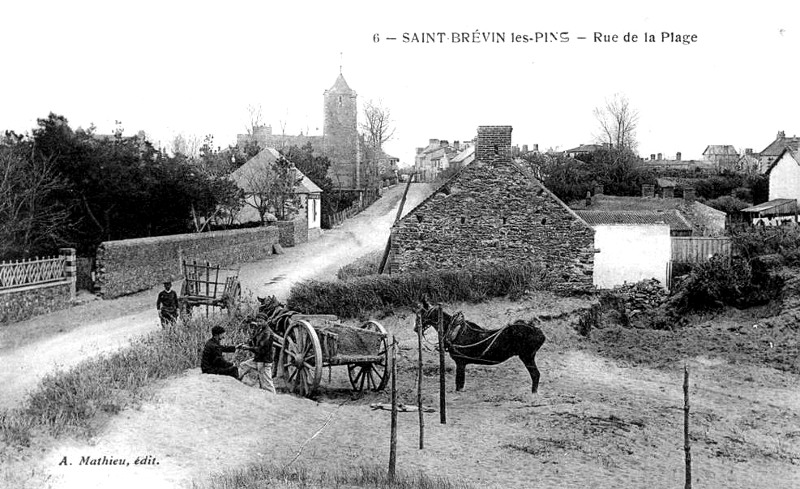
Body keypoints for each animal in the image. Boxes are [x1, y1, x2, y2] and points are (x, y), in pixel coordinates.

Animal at [416, 298, 548, 392]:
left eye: (421, 314)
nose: (415, 328)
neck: (455, 331)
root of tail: (538, 331)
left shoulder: (460, 362)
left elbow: (459, 384)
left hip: (527, 356)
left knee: (535, 375)